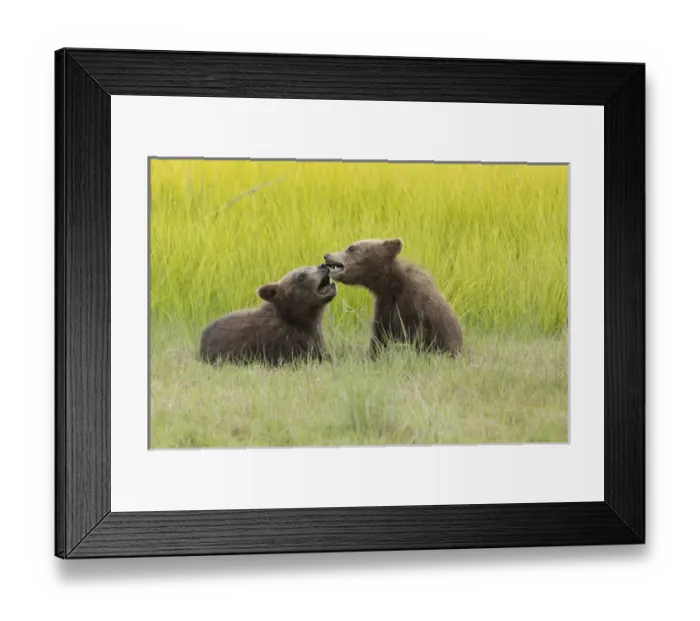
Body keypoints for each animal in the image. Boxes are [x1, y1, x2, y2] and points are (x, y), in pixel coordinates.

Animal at [323, 238, 463, 357]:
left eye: (351, 248)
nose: (327, 255)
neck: (391, 285)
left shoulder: (413, 305)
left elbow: (413, 336)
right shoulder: (384, 305)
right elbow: (380, 336)